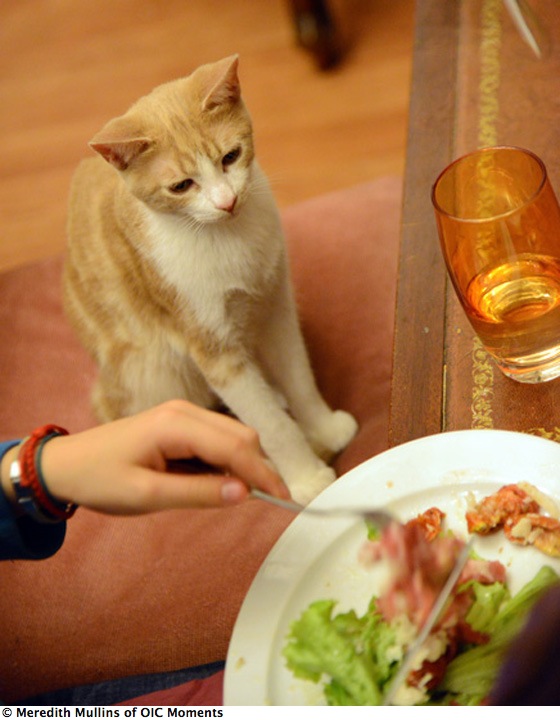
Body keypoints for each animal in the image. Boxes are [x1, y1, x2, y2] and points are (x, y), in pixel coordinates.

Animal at [63, 56, 356, 504]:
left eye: (230, 157)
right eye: (181, 185)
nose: (227, 201)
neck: (227, 238)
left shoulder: (276, 309)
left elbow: (300, 379)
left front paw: (325, 428)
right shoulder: (213, 351)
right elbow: (271, 425)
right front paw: (305, 479)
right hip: (151, 371)